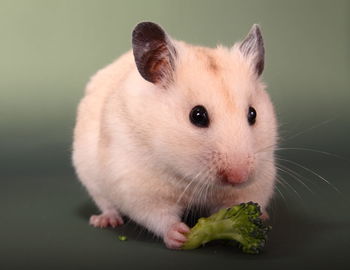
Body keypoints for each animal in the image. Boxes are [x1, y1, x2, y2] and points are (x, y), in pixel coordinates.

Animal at [72, 21, 278, 249]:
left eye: (253, 114)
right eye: (197, 115)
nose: (239, 177)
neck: (191, 178)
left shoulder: (258, 181)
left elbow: (241, 200)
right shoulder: (137, 186)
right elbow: (157, 214)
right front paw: (181, 235)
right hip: (90, 177)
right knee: (106, 203)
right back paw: (105, 220)